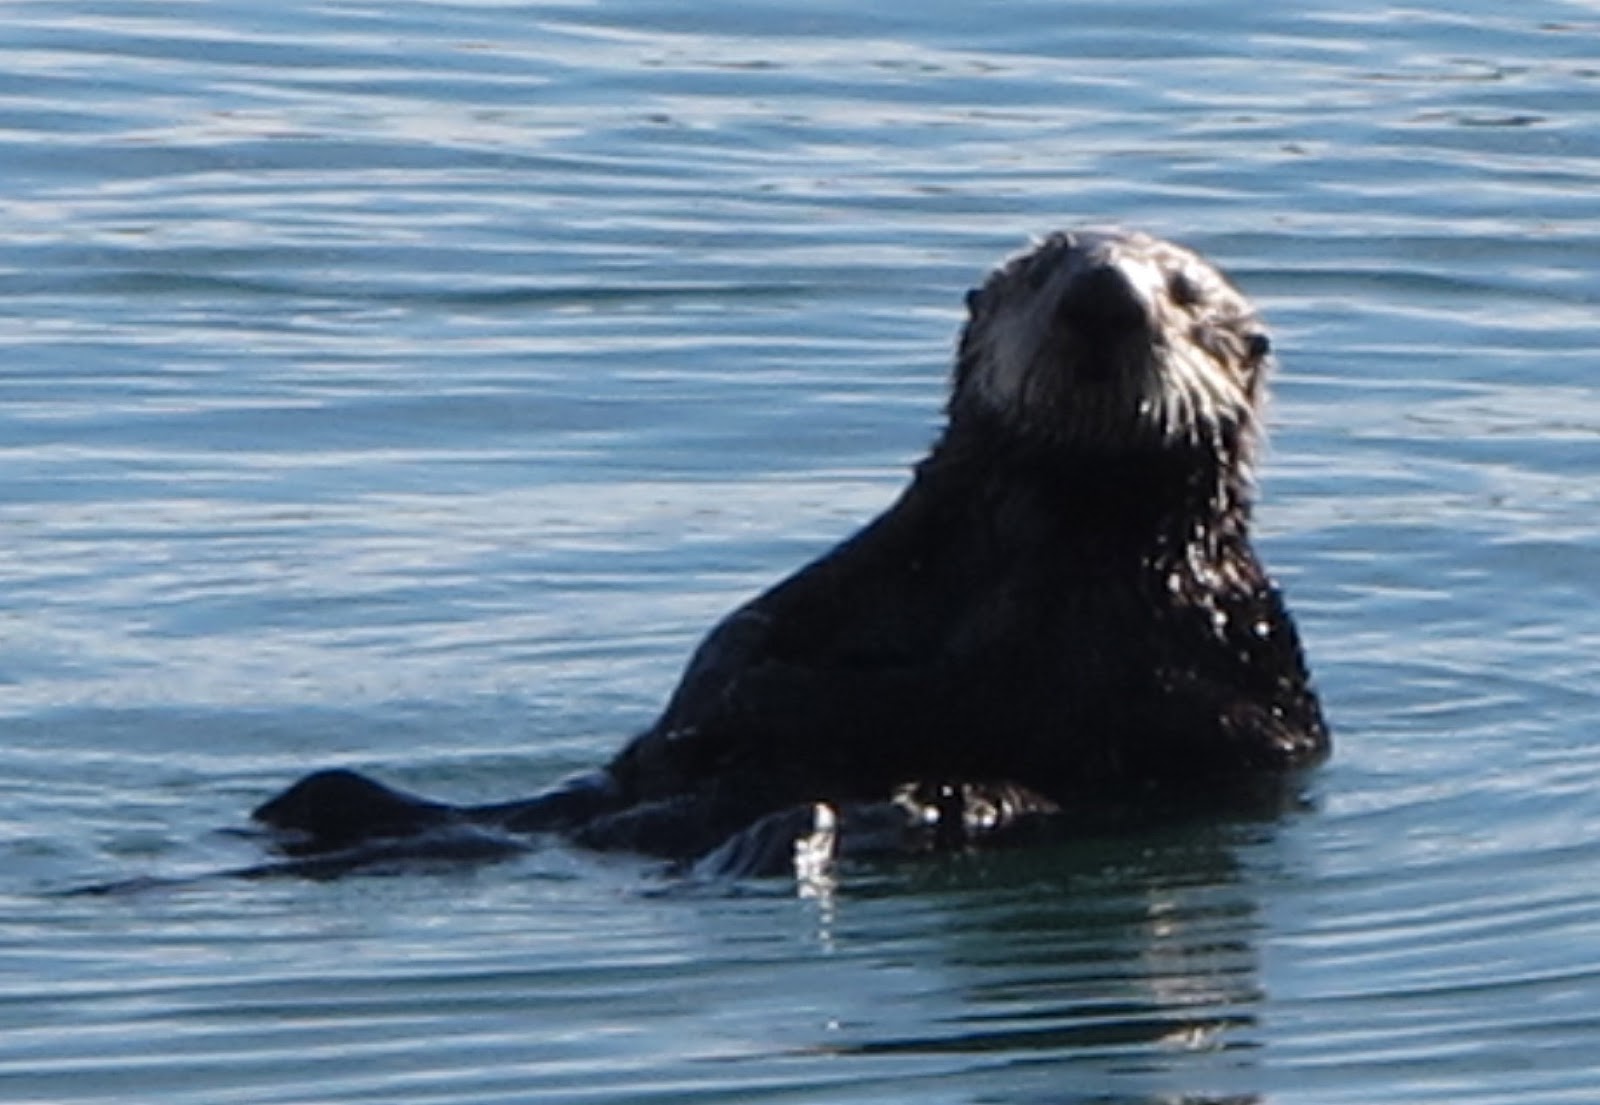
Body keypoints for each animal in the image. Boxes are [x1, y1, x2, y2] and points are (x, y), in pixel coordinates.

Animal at [253, 228, 1329, 878]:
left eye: (1186, 294)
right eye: (1042, 267)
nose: (1102, 292)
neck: (1047, 545)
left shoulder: (1192, 658)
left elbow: (1051, 707)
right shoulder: (872, 564)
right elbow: (744, 640)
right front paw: (718, 709)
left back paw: (802, 827)